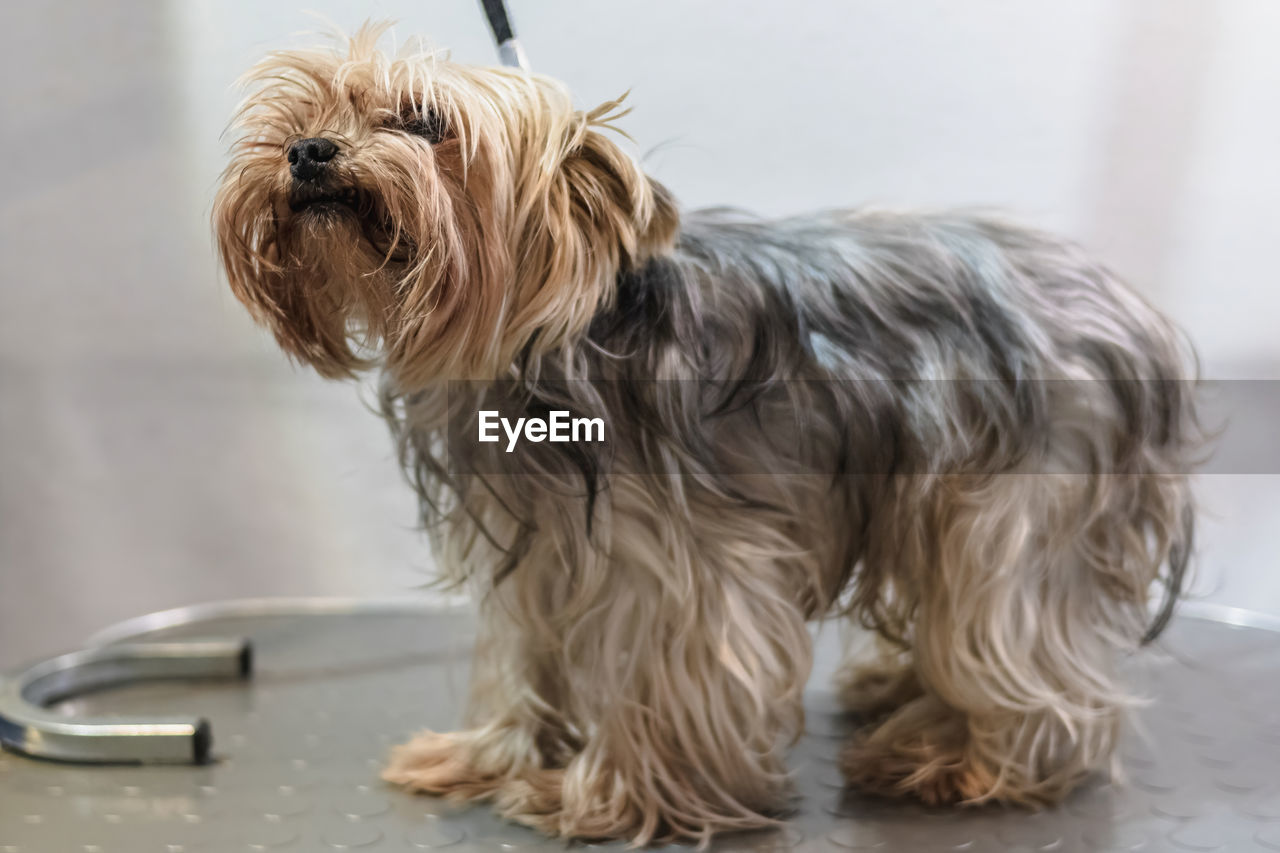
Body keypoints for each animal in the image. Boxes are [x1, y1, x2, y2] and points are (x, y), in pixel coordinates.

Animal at [212, 21, 1198, 845]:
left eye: (424, 121)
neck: (551, 343)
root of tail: (1132, 313)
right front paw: (490, 754)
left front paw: (615, 798)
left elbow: (669, 672)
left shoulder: (688, 562)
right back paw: (901, 690)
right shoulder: (538, 544)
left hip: (1011, 502)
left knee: (1011, 635)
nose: (307, 151)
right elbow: (522, 652)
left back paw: (963, 755)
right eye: (305, 112)